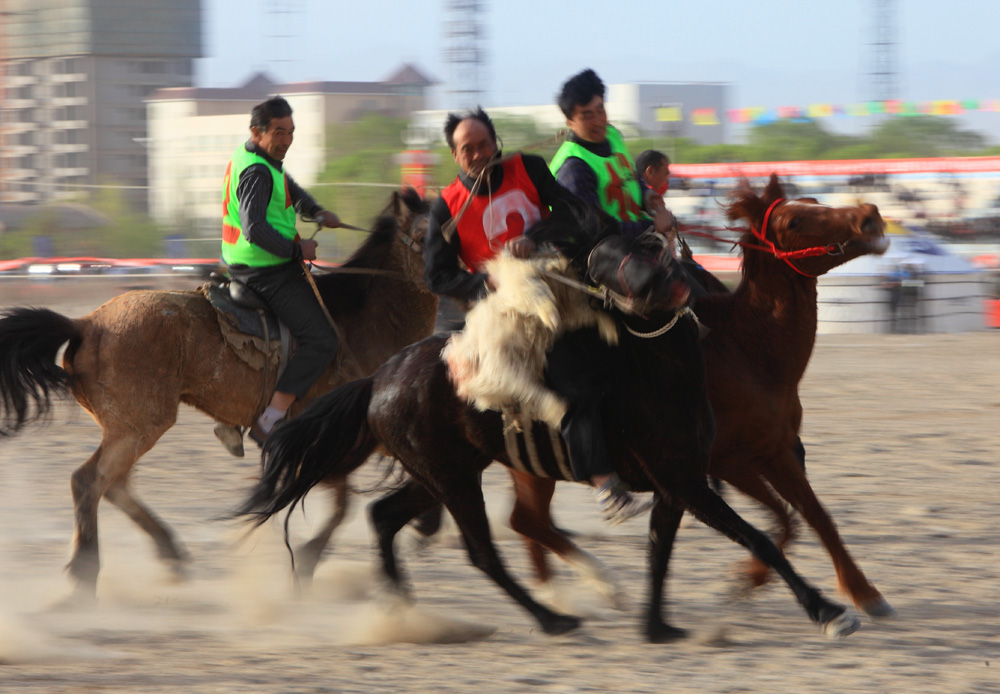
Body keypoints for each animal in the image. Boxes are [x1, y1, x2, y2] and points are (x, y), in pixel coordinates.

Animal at [0, 190, 438, 604]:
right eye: (421, 237)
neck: (363, 320)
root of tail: (86, 324)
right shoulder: (335, 436)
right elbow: (344, 503)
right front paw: (309, 558)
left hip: (129, 428)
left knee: (115, 485)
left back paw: (170, 554)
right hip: (139, 427)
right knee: (90, 481)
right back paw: (85, 573)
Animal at [512, 175, 896, 620]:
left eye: (815, 199)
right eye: (795, 220)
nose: (869, 215)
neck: (747, 348)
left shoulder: (773, 451)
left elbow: (807, 517)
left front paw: (854, 590)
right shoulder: (728, 463)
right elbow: (791, 518)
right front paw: (765, 580)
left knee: (526, 522)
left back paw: (559, 592)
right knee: (527, 521)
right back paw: (580, 589)